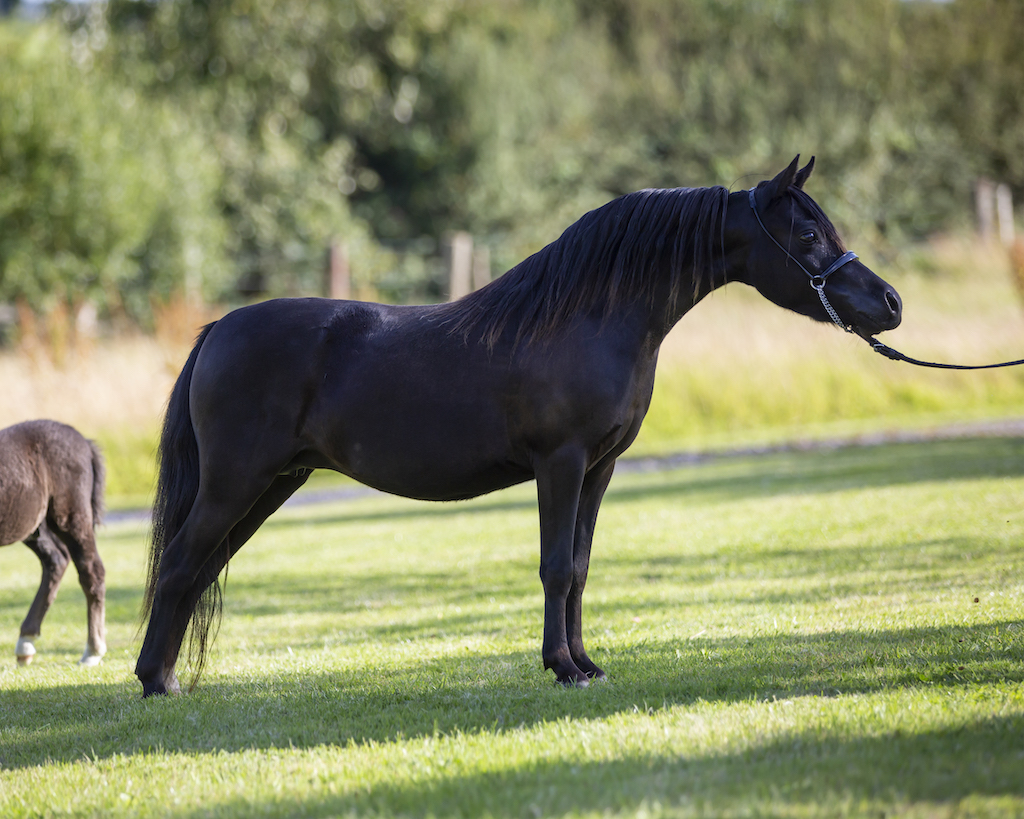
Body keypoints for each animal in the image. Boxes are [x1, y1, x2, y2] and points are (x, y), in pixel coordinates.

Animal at [0, 419, 107, 666]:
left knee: (91, 571)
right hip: (34, 528)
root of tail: (84, 442)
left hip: (70, 518)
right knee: (56, 560)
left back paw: (92, 651)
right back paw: (26, 642)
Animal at [136, 156, 902, 696]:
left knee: (197, 569)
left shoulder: (600, 468)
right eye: (809, 233)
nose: (890, 303)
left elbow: (581, 566)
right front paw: (561, 666)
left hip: (272, 484)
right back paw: (154, 682)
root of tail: (219, 329)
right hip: (237, 482)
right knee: (179, 566)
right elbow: (556, 565)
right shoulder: (560, 462)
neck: (590, 318)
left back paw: (165, 676)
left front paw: (587, 662)